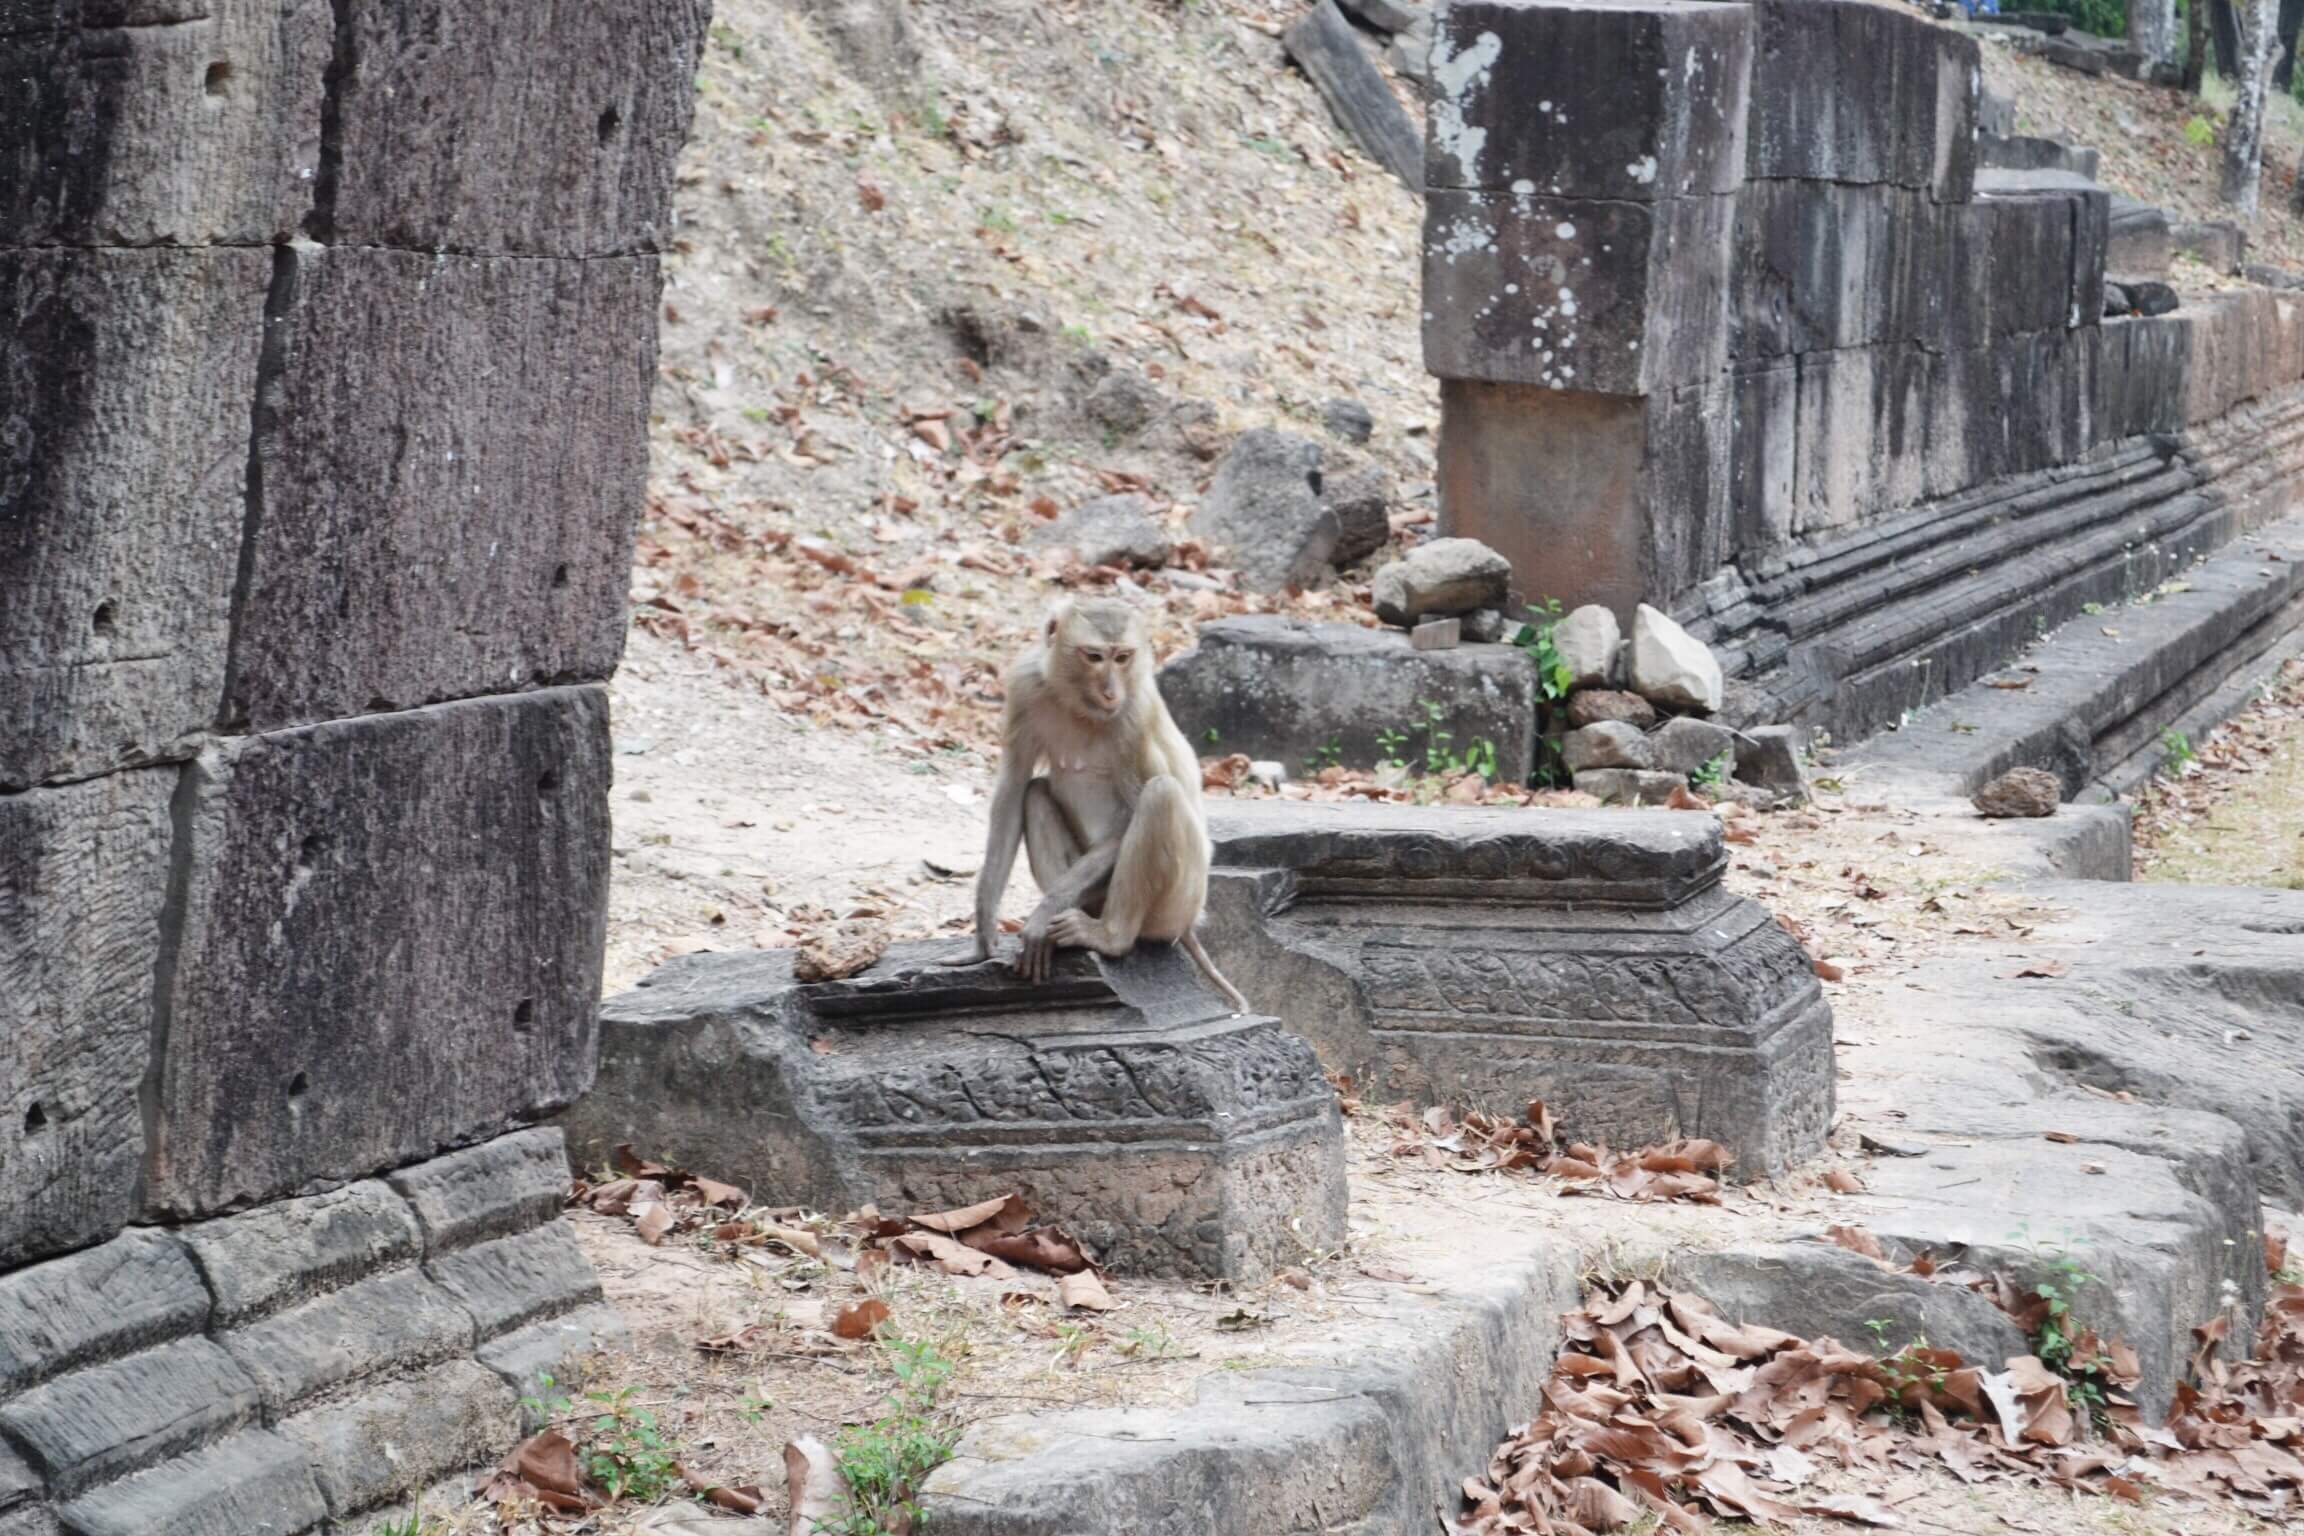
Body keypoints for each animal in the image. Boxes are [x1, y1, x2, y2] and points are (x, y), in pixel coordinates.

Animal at [944, 596, 1250, 1013]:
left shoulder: (1134, 716)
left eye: (1122, 657)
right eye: (1093, 656)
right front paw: (983, 930)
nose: (1110, 692)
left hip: (1178, 905)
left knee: (1161, 795)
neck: (1079, 705)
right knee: (1036, 794)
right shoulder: (1025, 686)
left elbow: (1133, 813)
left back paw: (1109, 935)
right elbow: (1013, 789)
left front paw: (1043, 913)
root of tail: (1191, 922)